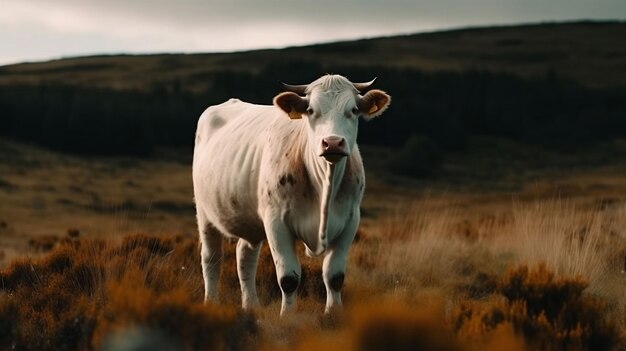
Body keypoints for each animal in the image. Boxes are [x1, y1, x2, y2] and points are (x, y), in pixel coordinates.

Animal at [190, 74, 388, 316]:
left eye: (353, 110)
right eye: (311, 110)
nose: (332, 142)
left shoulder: (350, 221)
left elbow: (334, 276)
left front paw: (333, 313)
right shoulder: (277, 223)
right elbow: (288, 278)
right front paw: (287, 316)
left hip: (250, 220)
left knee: (245, 257)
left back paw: (250, 305)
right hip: (205, 214)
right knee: (211, 258)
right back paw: (211, 302)